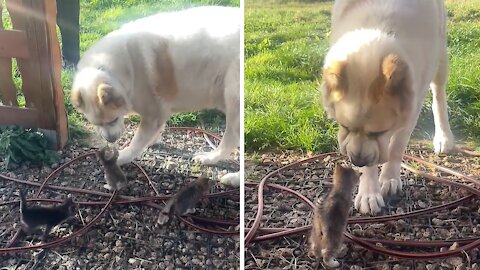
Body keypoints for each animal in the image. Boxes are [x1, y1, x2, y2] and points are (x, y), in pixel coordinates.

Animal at [71, 6, 240, 188]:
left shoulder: (154, 114)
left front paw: (123, 156)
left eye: (113, 120)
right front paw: (153, 139)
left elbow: (137, 142)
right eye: (96, 124)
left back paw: (226, 171)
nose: (111, 139)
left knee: (230, 140)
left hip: (234, 104)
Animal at [322, 1, 454, 214]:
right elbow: (371, 157)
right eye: (345, 126)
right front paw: (369, 193)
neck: (378, 29)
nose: (356, 161)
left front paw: (389, 178)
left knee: (439, 95)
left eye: (379, 131)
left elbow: (397, 145)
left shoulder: (413, 105)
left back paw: (444, 136)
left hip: (440, 56)